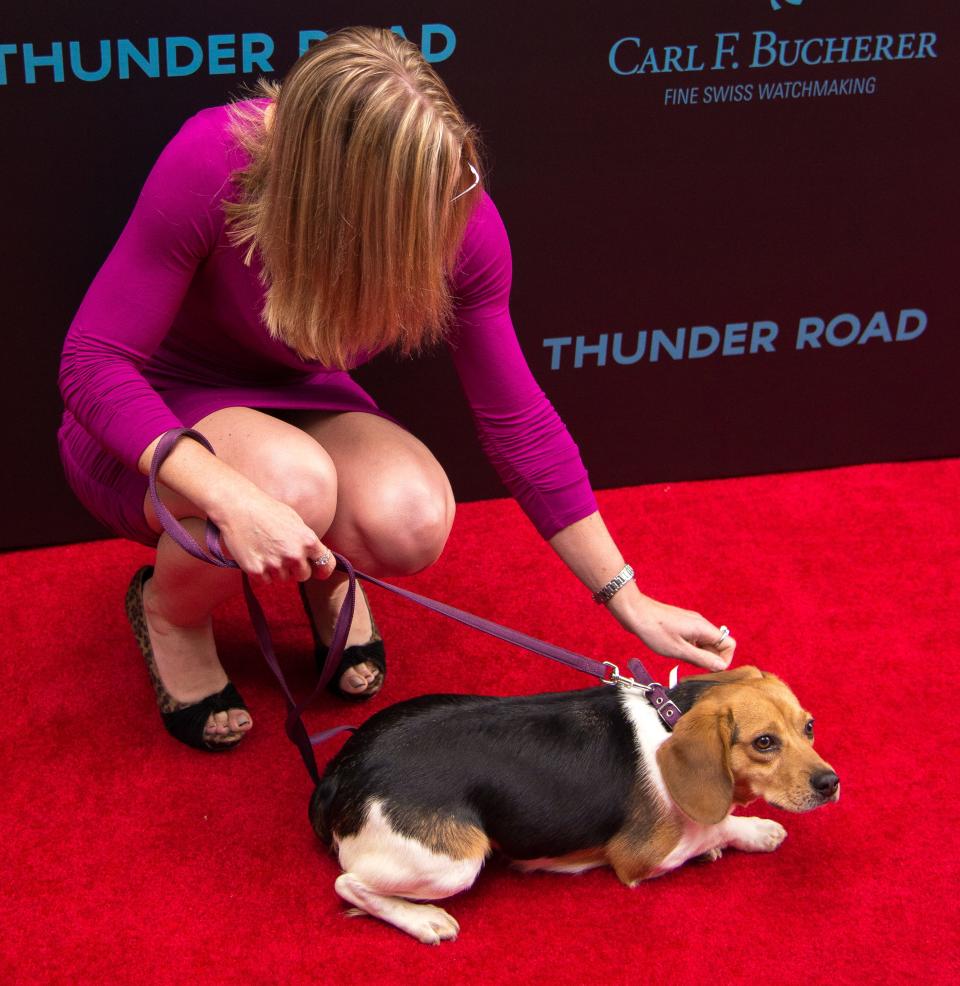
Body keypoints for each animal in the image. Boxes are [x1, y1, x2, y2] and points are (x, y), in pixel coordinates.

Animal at [312, 664, 836, 940]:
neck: (670, 720)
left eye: (809, 727)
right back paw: (422, 919)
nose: (831, 783)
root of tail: (343, 770)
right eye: (764, 742)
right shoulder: (639, 857)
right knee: (349, 884)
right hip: (456, 861)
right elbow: (713, 825)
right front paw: (742, 832)